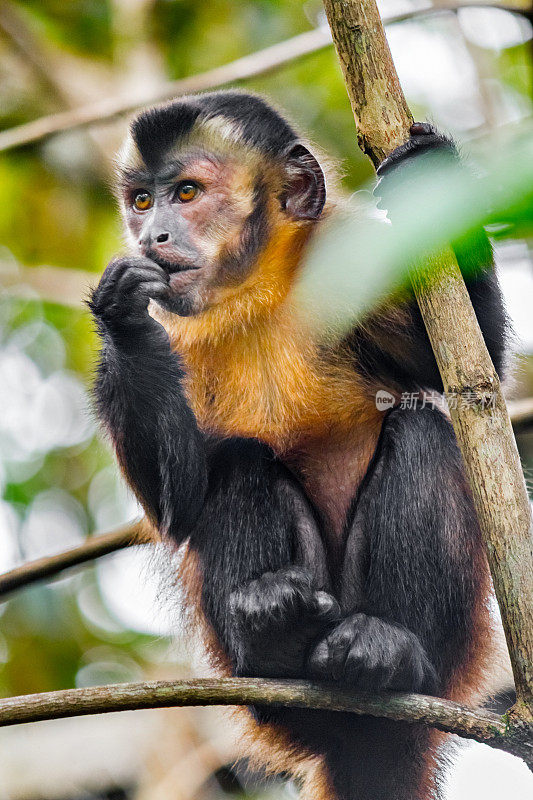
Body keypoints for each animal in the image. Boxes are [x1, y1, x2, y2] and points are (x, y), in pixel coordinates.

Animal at [89, 90, 510, 796]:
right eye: (142, 202)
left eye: (187, 192)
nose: (153, 237)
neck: (258, 291)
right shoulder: (176, 324)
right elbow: (176, 504)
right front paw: (120, 315)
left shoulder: (354, 255)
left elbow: (472, 377)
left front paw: (430, 175)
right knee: (236, 465)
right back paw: (278, 645)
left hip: (459, 657)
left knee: (424, 427)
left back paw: (392, 655)